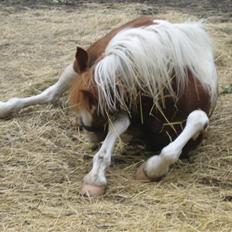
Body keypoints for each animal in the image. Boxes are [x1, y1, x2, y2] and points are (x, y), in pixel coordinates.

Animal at [0, 17, 218, 197]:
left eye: (93, 106)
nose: (89, 134)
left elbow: (190, 126)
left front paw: (149, 169)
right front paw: (95, 178)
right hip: (79, 64)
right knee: (50, 94)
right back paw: (6, 107)